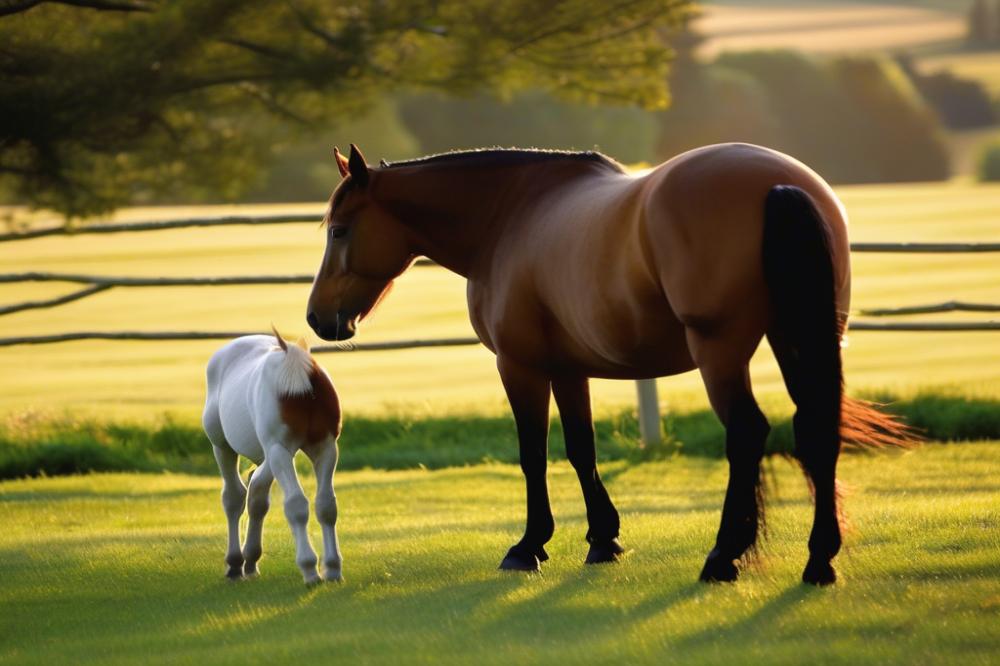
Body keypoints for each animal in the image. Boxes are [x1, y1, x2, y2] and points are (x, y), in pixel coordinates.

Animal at [202, 327, 343, 585]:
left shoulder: (325, 448)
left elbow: (326, 506)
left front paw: (333, 568)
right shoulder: (279, 448)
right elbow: (296, 505)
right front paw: (310, 569)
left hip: (269, 455)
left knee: (256, 491)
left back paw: (249, 560)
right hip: (224, 447)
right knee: (234, 496)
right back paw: (235, 563)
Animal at [305, 142, 911, 585]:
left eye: (339, 229)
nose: (317, 318)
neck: (509, 218)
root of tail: (777, 185)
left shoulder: (520, 366)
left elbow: (533, 455)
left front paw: (529, 546)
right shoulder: (569, 368)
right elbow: (581, 451)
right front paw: (603, 539)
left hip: (720, 349)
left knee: (747, 433)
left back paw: (723, 557)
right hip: (801, 338)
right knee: (815, 431)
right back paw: (819, 560)